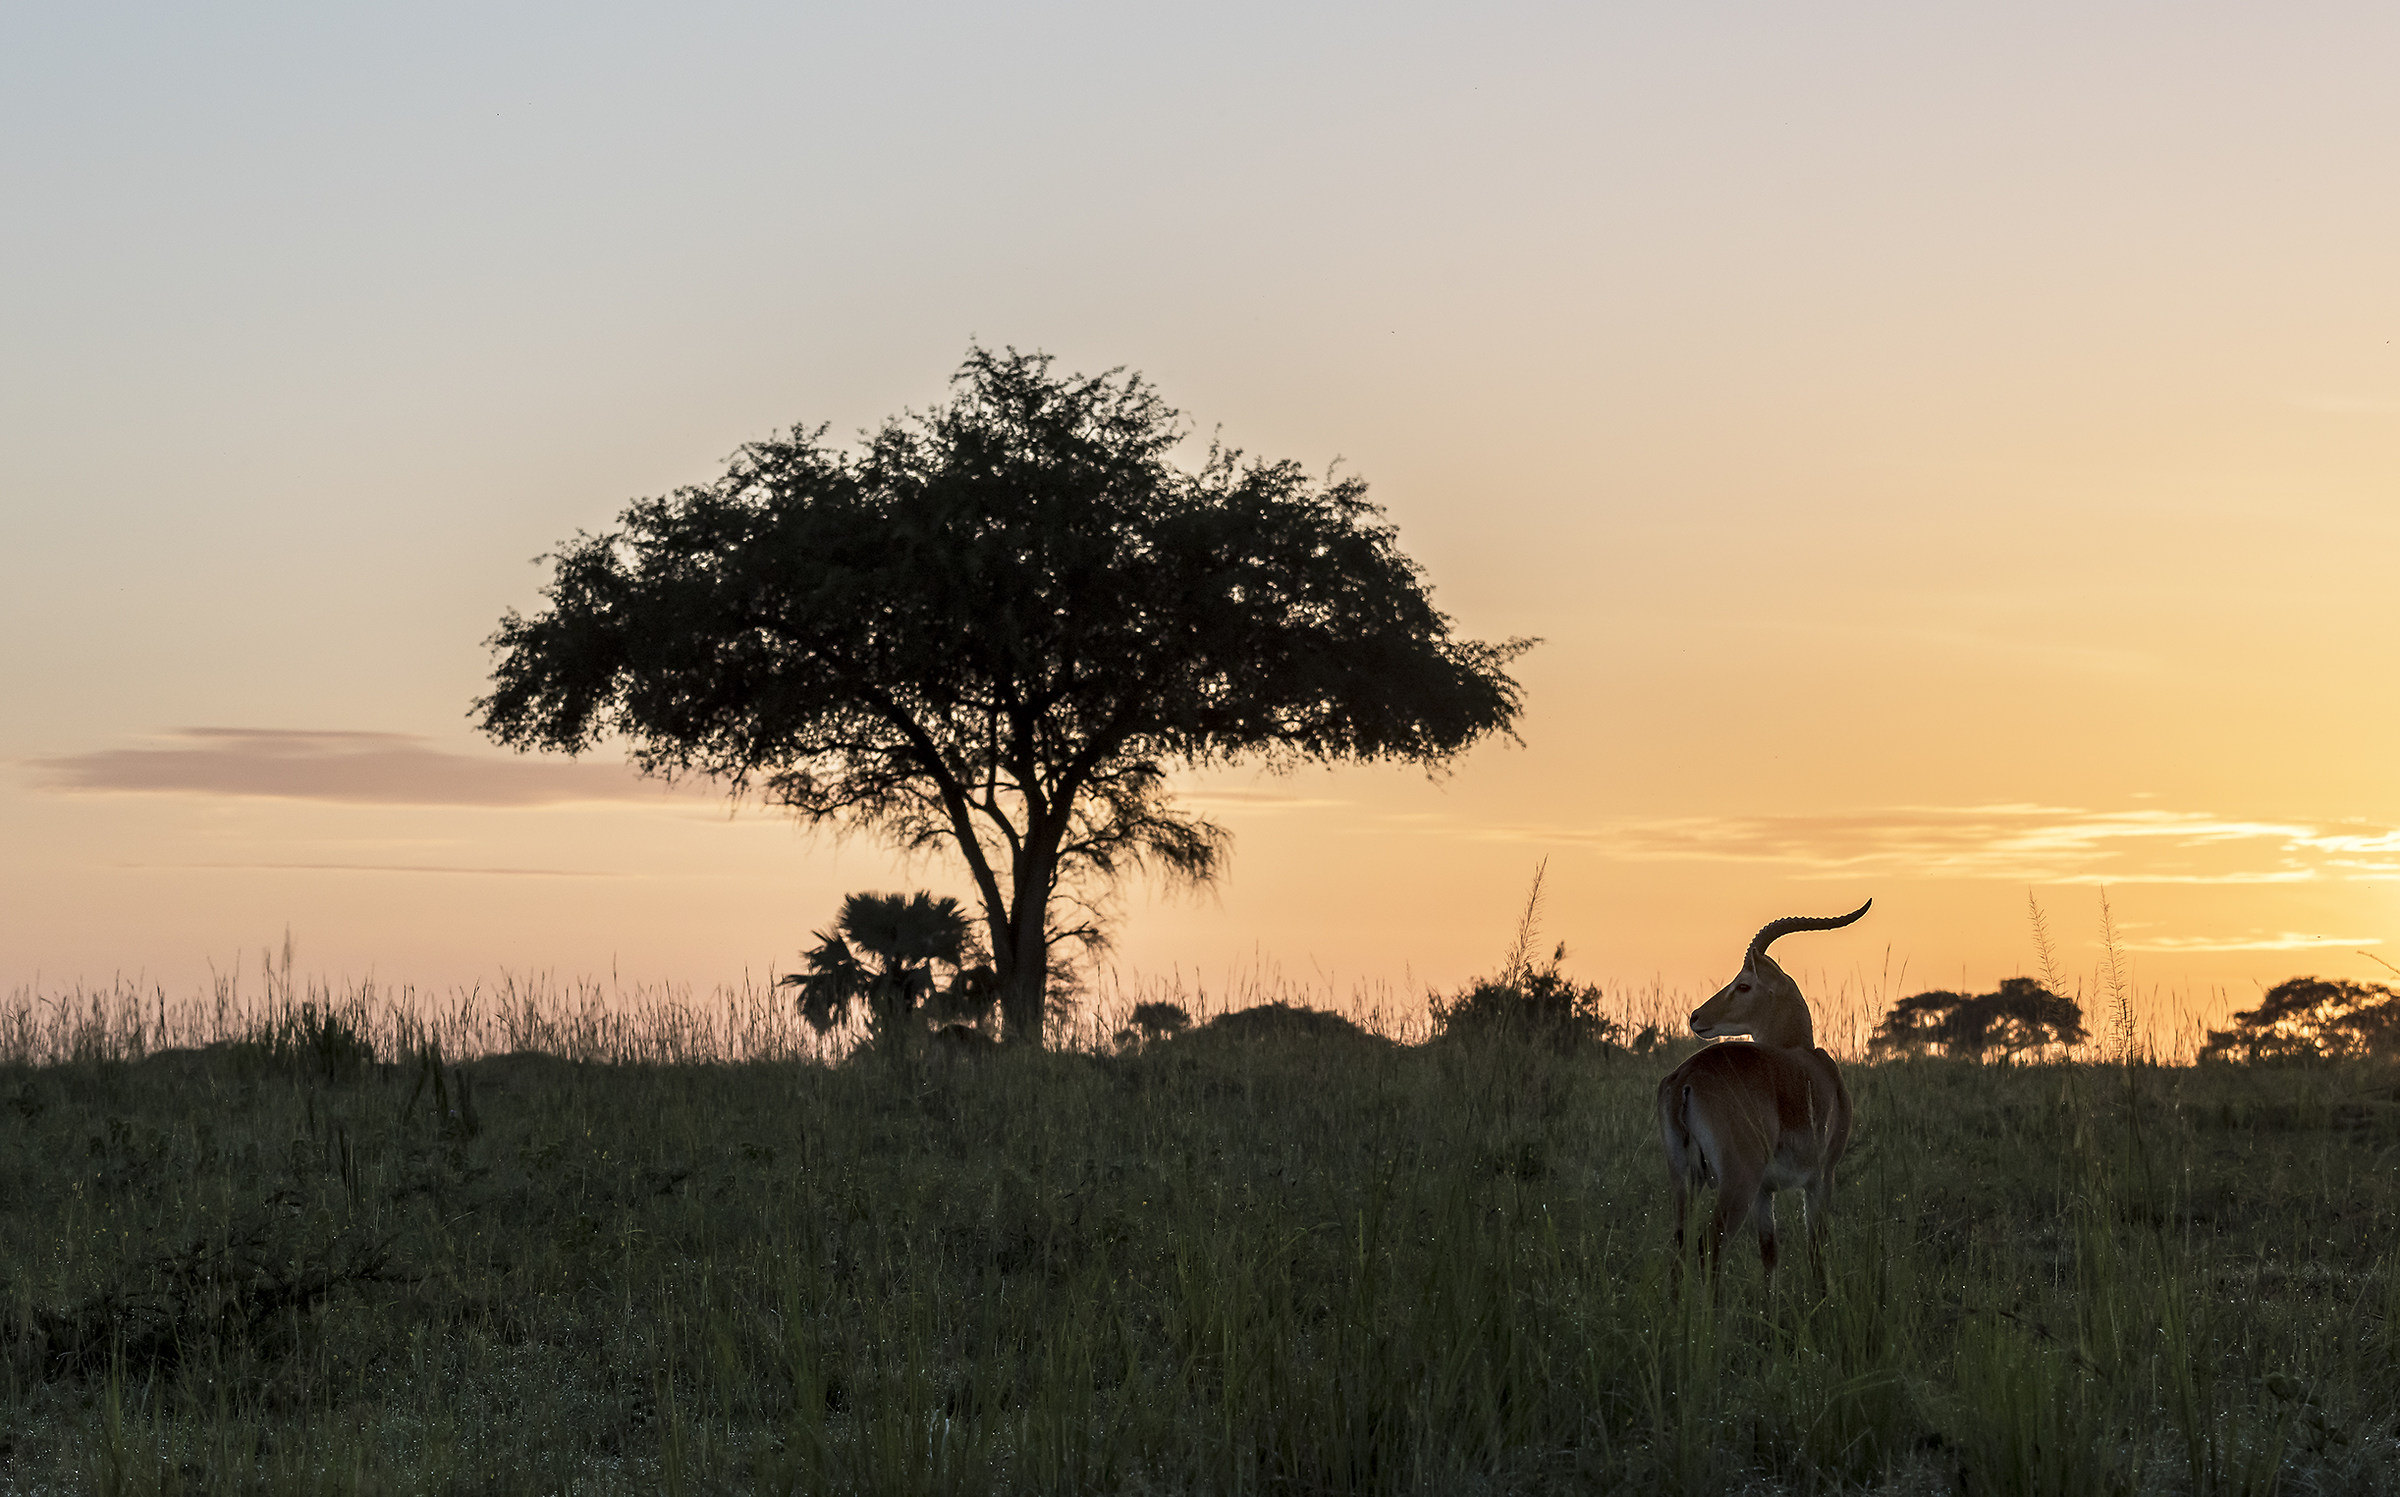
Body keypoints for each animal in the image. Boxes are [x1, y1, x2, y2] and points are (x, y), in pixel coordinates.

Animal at [1651, 892, 1872, 1276]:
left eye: (1743, 984)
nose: (1695, 1017)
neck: (1804, 1055)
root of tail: (1686, 1079)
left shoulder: (1764, 1191)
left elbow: (1769, 1252)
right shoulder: (1821, 1177)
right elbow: (1816, 1252)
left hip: (1684, 1178)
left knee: (1680, 1248)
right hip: (1736, 1181)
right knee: (1708, 1246)